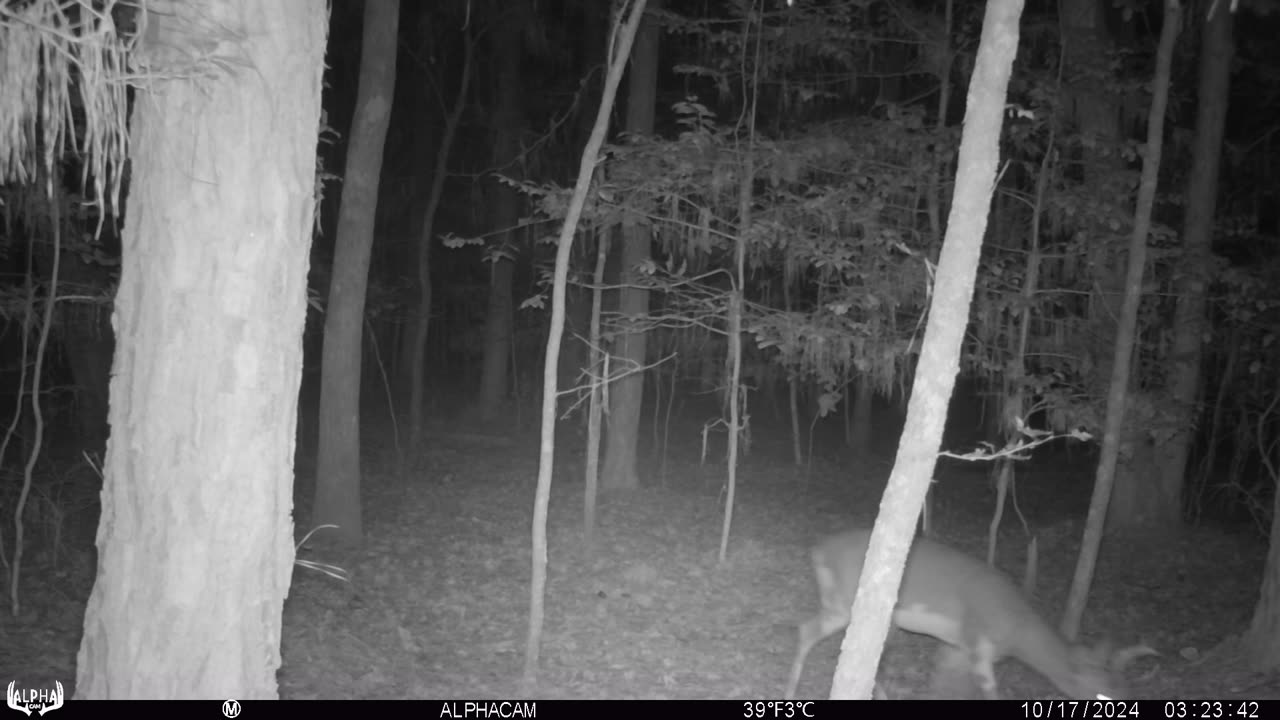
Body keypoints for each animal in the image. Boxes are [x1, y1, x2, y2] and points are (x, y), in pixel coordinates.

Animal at [783, 525, 1157, 696]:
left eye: (1128, 690)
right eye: (1102, 694)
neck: (1017, 628)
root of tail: (818, 549)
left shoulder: (957, 647)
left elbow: (945, 686)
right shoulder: (979, 643)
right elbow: (990, 693)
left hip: (838, 603)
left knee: (806, 629)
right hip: (848, 602)